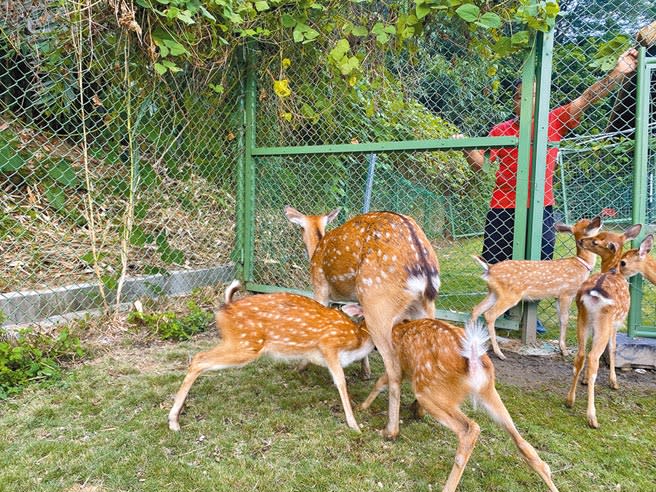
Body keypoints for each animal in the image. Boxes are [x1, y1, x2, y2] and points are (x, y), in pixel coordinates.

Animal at [168, 278, 374, 432]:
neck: (358, 340)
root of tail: (226, 307)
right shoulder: (329, 344)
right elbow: (340, 380)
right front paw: (354, 425)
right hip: (245, 345)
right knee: (199, 359)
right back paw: (173, 421)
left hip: (237, 343)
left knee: (199, 358)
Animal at [284, 206, 440, 440]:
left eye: (300, 228)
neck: (318, 246)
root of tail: (425, 272)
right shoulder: (357, 299)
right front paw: (364, 370)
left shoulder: (320, 286)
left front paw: (300, 366)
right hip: (426, 306)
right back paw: (417, 410)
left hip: (377, 302)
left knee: (394, 368)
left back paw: (390, 430)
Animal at [358, 316, 560, 492]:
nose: (372, 346)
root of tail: (473, 360)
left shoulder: (397, 367)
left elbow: (381, 382)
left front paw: (363, 408)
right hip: (489, 392)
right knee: (525, 446)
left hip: (431, 392)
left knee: (470, 428)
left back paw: (447, 487)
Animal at [472, 215, 604, 358]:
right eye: (587, 225)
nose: (599, 218)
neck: (582, 265)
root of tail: (489, 269)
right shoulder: (567, 293)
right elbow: (565, 320)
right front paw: (564, 350)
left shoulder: (558, 296)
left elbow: (560, 319)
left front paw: (561, 347)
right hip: (509, 295)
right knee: (489, 314)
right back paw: (499, 353)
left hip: (494, 293)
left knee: (476, 309)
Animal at [564, 223, 640, 426]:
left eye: (597, 240)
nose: (582, 241)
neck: (613, 270)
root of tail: (595, 293)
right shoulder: (615, 324)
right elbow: (613, 348)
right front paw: (614, 382)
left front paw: (582, 380)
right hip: (604, 323)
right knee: (593, 359)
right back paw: (592, 417)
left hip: (582, 317)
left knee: (581, 354)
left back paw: (569, 400)